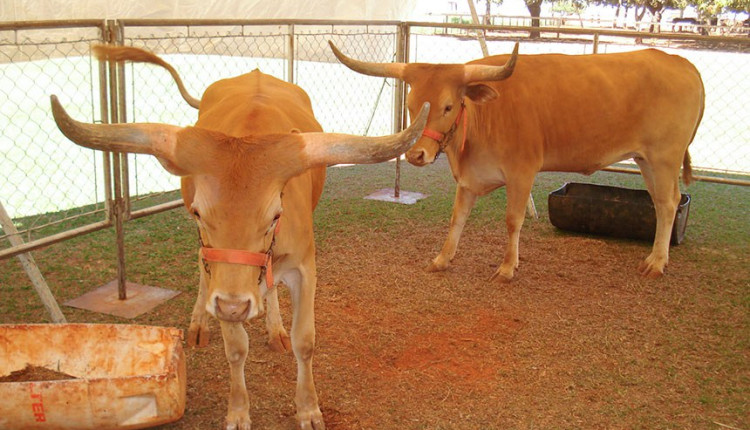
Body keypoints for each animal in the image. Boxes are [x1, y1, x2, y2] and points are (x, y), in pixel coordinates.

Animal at [51, 45, 428, 428]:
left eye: (275, 215)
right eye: (199, 213)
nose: (233, 306)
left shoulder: (305, 267)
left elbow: (304, 341)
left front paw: (308, 408)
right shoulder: (219, 271)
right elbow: (235, 348)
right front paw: (238, 409)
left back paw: (274, 328)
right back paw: (200, 323)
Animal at [332, 41, 708, 282]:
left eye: (448, 106)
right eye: (411, 105)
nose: (415, 155)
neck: (485, 116)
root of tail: (683, 63)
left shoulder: (522, 172)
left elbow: (513, 220)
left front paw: (507, 267)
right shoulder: (469, 179)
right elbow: (457, 218)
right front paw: (442, 258)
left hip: (664, 158)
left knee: (668, 203)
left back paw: (657, 262)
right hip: (646, 159)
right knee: (660, 203)